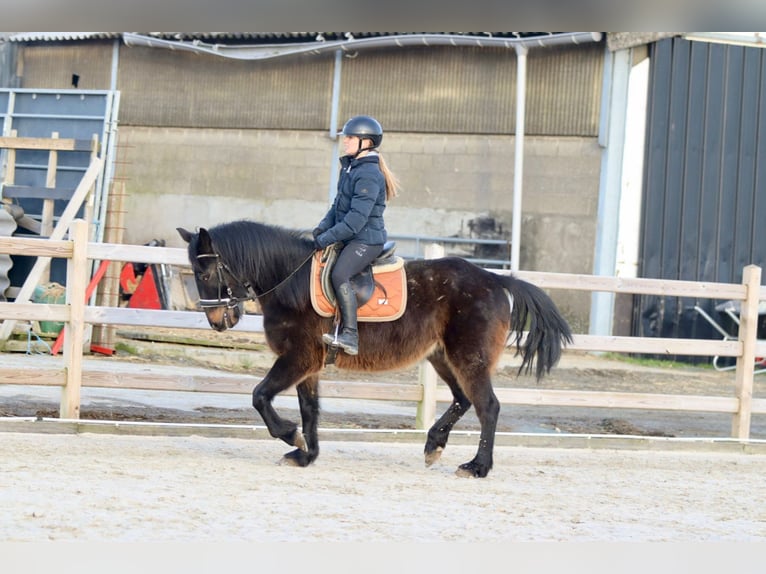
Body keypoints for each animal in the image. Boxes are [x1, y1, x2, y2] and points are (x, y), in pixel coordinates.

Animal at [176, 222, 568, 482]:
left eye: (204, 271)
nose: (217, 321)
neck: (291, 281)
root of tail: (495, 279)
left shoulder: (298, 358)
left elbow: (259, 396)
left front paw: (289, 435)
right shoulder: (309, 365)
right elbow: (310, 410)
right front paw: (305, 454)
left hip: (468, 357)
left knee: (488, 406)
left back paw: (477, 466)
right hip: (442, 356)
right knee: (462, 399)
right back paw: (434, 445)